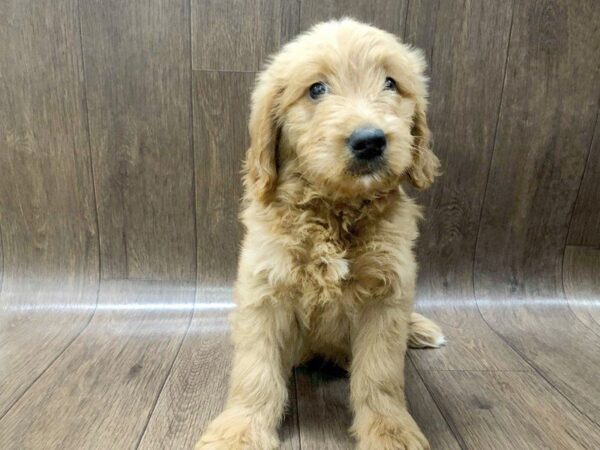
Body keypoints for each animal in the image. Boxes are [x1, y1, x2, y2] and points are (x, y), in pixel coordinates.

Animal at [198, 17, 446, 450]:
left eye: (390, 83)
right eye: (317, 89)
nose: (370, 141)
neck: (334, 210)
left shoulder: (388, 294)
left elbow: (380, 376)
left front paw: (390, 430)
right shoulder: (264, 289)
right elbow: (255, 371)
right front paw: (240, 430)